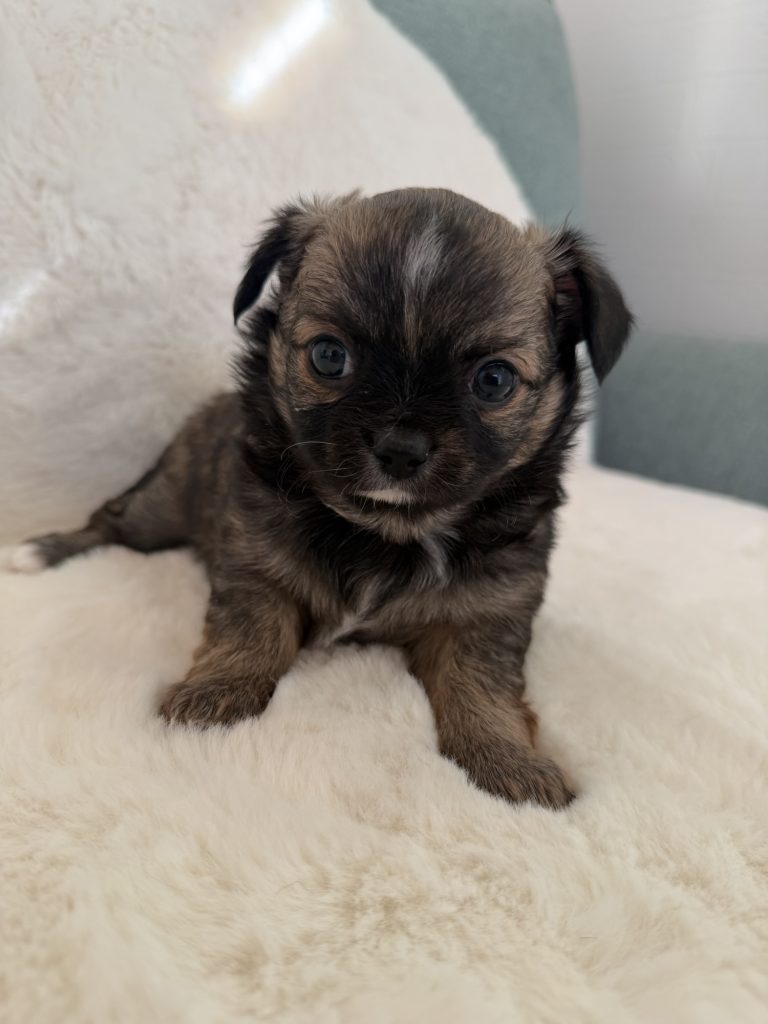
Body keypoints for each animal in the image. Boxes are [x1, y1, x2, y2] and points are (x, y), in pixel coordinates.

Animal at [13, 188, 632, 808]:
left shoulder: (490, 611)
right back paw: (36, 552)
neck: (386, 530)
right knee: (108, 522)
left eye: (495, 380)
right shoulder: (255, 563)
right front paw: (215, 693)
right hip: (160, 507)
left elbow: (482, 684)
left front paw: (508, 762)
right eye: (329, 356)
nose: (399, 449)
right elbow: (252, 631)